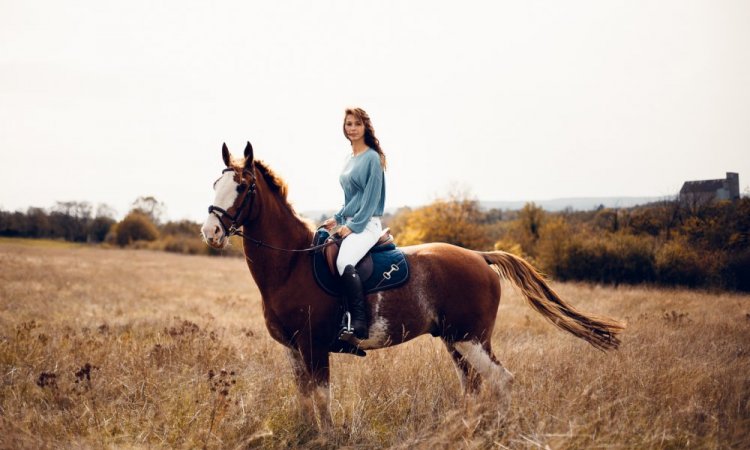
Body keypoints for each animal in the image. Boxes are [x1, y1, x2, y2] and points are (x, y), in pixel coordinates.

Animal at [203, 143, 624, 426]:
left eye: (243, 187)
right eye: (215, 183)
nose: (210, 232)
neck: (292, 264)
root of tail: (479, 256)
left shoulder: (313, 346)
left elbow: (321, 400)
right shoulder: (293, 350)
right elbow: (305, 400)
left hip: (472, 339)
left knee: (501, 380)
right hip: (456, 341)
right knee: (473, 386)